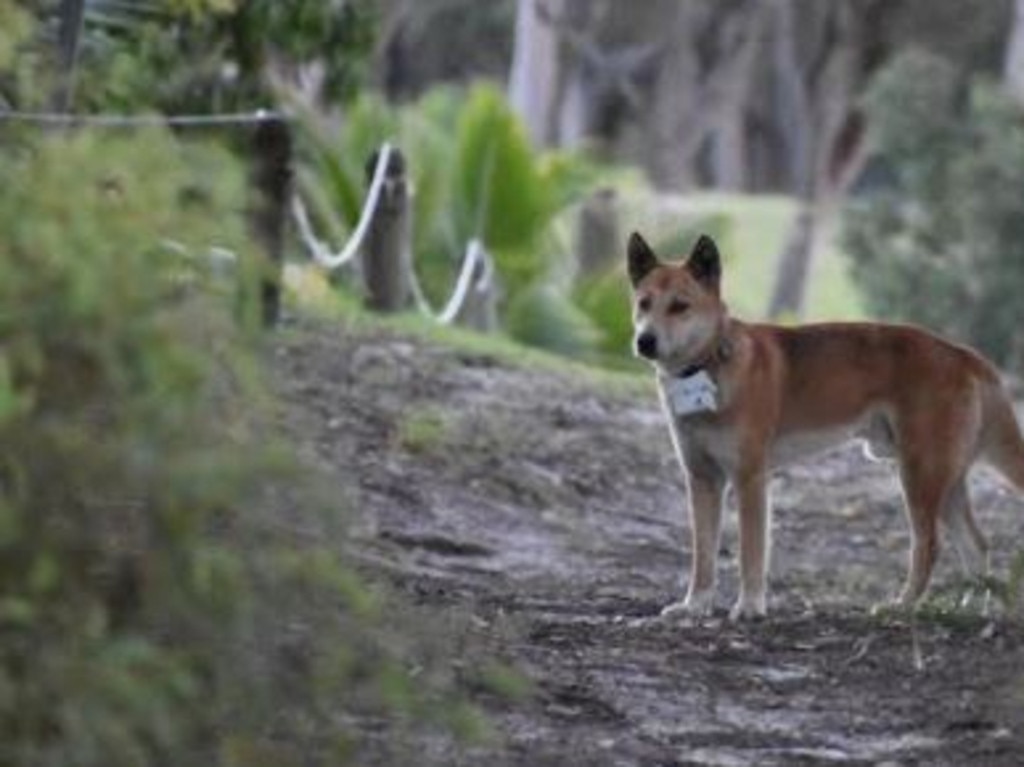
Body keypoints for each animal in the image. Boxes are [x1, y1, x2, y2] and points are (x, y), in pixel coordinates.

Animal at [626, 231, 1024, 614]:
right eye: (643, 303)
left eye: (679, 306)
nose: (645, 341)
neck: (709, 363)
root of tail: (963, 353)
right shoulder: (702, 479)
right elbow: (703, 556)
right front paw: (695, 605)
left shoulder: (749, 478)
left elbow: (750, 553)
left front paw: (750, 606)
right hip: (945, 480)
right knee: (976, 546)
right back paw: (970, 610)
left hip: (920, 476)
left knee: (931, 545)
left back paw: (904, 605)